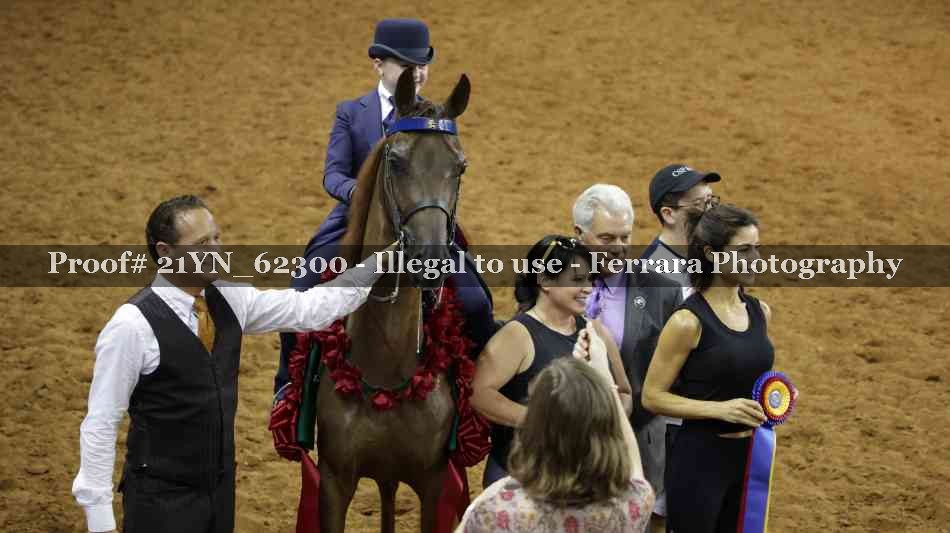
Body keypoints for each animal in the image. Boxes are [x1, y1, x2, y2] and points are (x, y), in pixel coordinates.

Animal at [315, 67, 473, 533]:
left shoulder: (434, 483)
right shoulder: (333, 482)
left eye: (460, 167)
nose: (431, 258)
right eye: (397, 161)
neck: (385, 366)